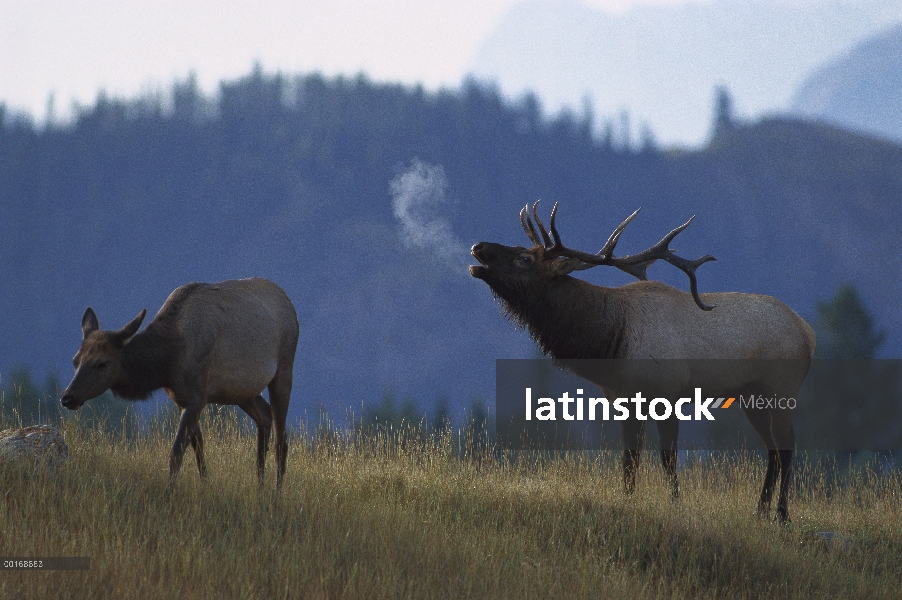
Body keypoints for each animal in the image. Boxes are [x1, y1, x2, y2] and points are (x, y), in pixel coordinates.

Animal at [60, 276, 300, 488]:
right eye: (75, 360)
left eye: (102, 363)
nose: (67, 397)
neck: (166, 364)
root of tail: (289, 303)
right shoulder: (181, 398)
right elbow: (198, 446)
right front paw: (205, 486)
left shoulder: (196, 398)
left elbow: (176, 452)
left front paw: (169, 493)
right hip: (242, 392)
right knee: (265, 417)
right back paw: (260, 488)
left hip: (284, 368)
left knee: (281, 440)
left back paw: (276, 494)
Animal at [474, 202, 820, 520]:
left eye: (525, 258)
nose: (478, 247)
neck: (612, 342)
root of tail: (809, 332)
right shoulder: (623, 399)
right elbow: (630, 458)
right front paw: (627, 499)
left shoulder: (668, 394)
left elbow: (667, 457)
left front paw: (676, 505)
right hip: (751, 395)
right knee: (772, 449)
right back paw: (760, 510)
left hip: (781, 388)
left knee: (787, 445)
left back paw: (782, 514)